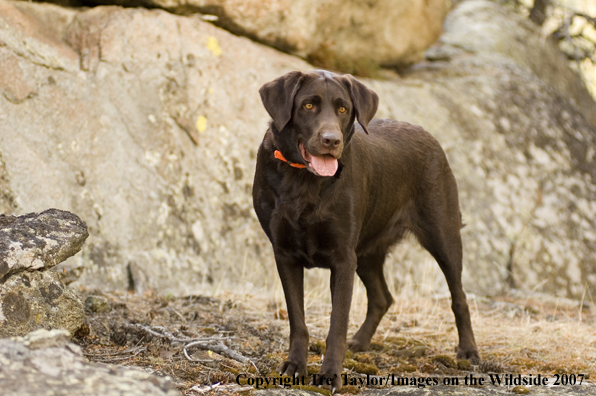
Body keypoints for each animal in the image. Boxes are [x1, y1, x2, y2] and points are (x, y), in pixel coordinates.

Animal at [251, 69, 480, 392]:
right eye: (308, 105)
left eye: (343, 109)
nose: (331, 140)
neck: (304, 182)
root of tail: (428, 135)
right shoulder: (285, 255)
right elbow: (298, 321)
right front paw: (295, 365)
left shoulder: (343, 258)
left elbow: (337, 323)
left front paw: (330, 374)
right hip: (368, 253)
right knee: (383, 298)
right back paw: (359, 341)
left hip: (443, 236)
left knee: (459, 297)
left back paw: (468, 350)